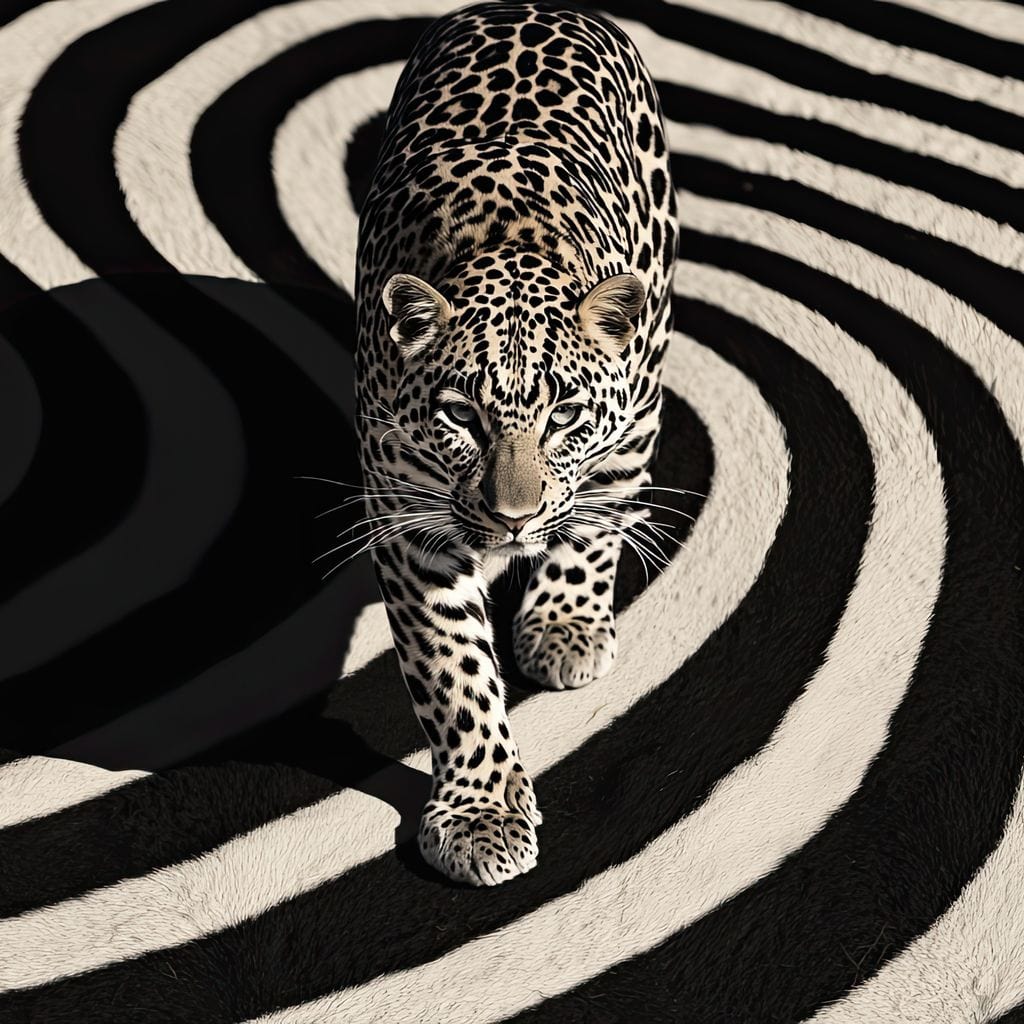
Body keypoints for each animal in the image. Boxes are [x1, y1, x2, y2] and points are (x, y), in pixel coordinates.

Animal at [353, 0, 677, 886]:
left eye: (563, 417)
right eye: (462, 417)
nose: (512, 519)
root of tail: (535, 5)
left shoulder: (625, 426)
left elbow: (595, 521)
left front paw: (564, 625)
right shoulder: (410, 520)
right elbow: (452, 671)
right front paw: (481, 814)